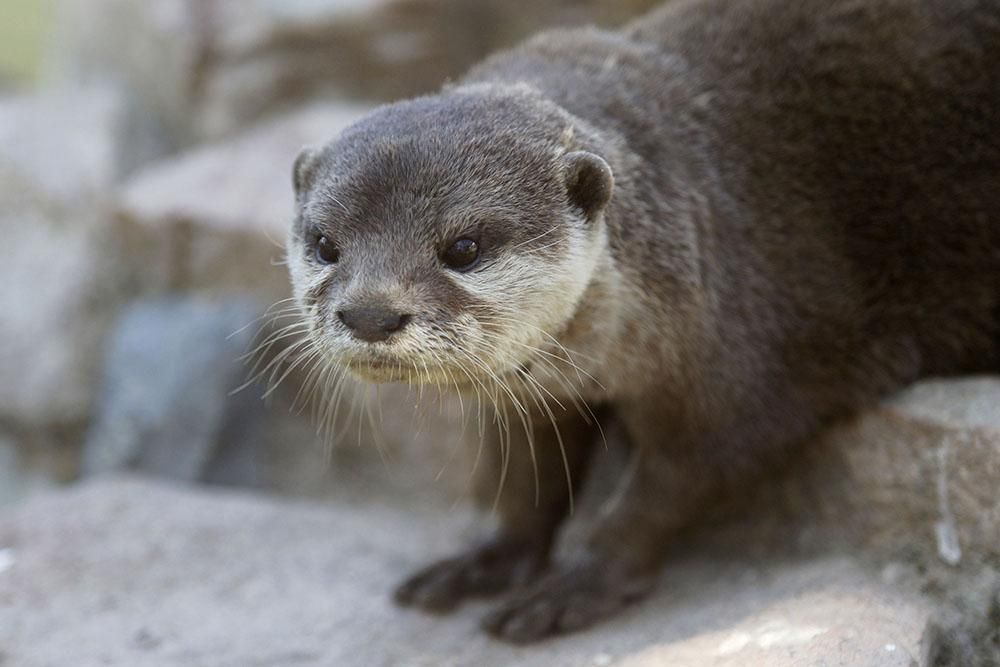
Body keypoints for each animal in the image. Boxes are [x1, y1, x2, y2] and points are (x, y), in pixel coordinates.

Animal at [288, 0, 1000, 644]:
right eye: (324, 244)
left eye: (463, 247)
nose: (371, 313)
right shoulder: (537, 392)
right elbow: (525, 480)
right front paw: (485, 561)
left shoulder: (749, 366)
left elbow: (675, 482)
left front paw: (581, 584)